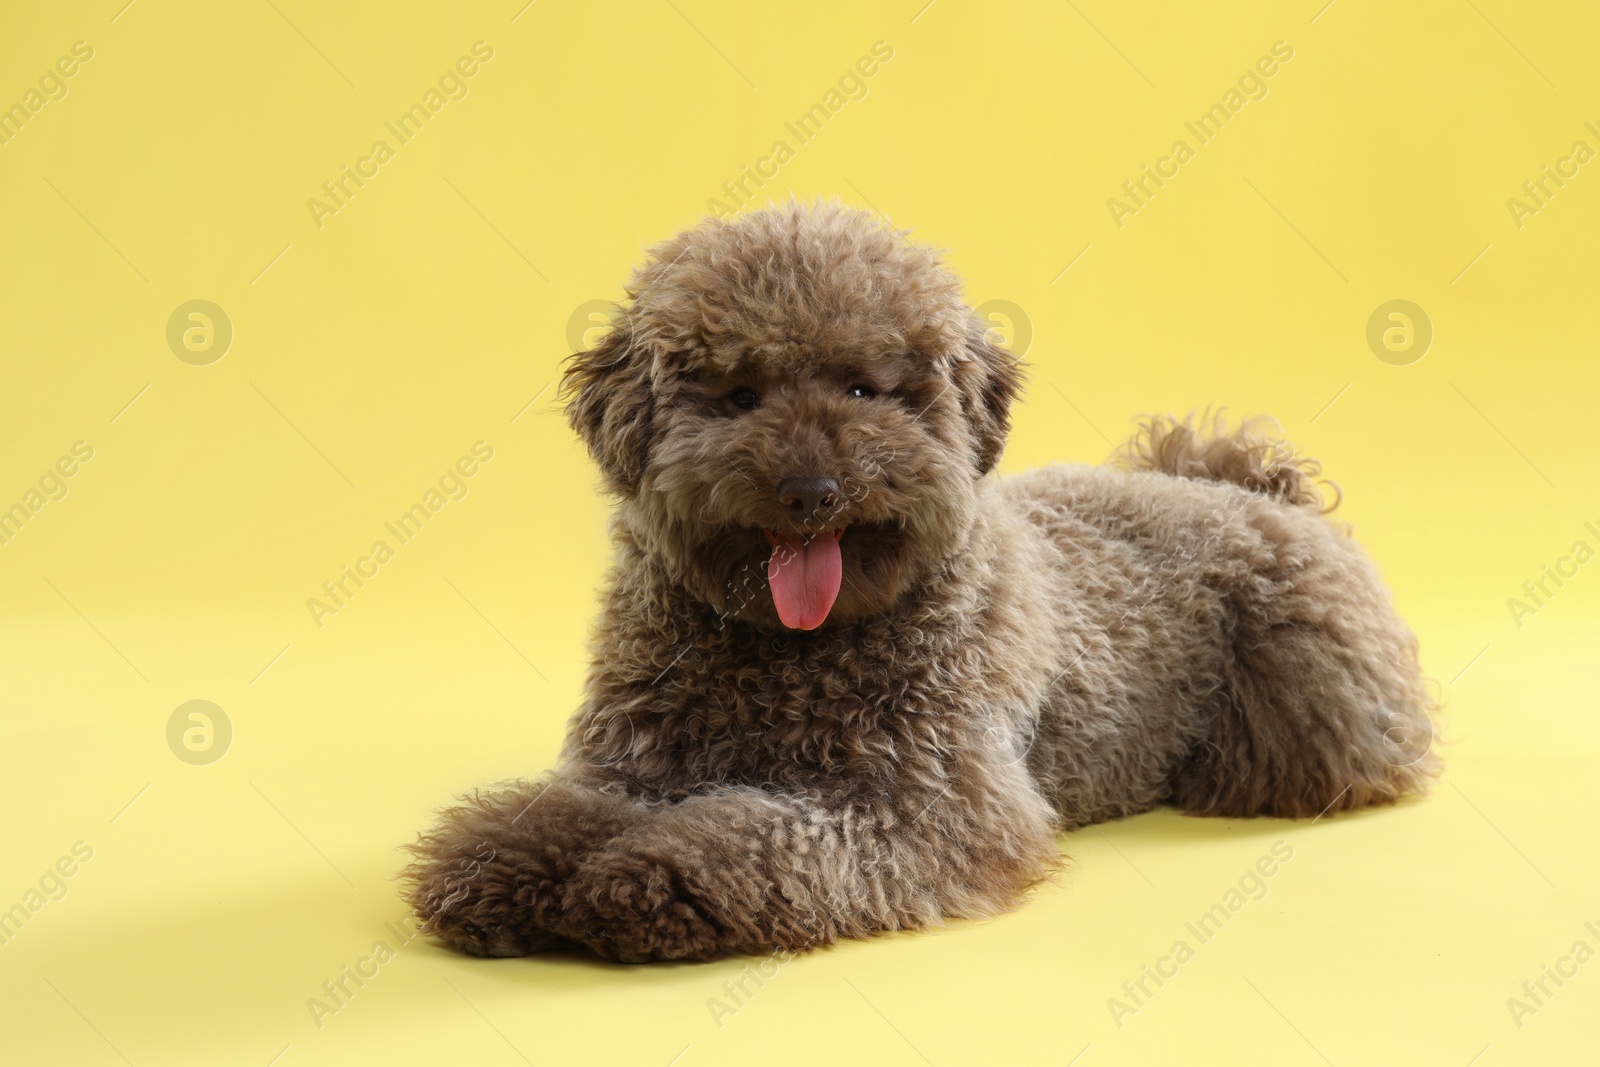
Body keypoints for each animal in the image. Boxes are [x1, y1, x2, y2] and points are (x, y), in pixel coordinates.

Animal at [400, 195, 1440, 966]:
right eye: (738, 396)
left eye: (865, 387)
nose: (811, 492)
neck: (789, 651)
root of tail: (1237, 483)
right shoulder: (633, 760)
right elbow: (560, 810)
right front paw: (503, 858)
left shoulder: (930, 805)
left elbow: (755, 836)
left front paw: (646, 879)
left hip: (1314, 708)